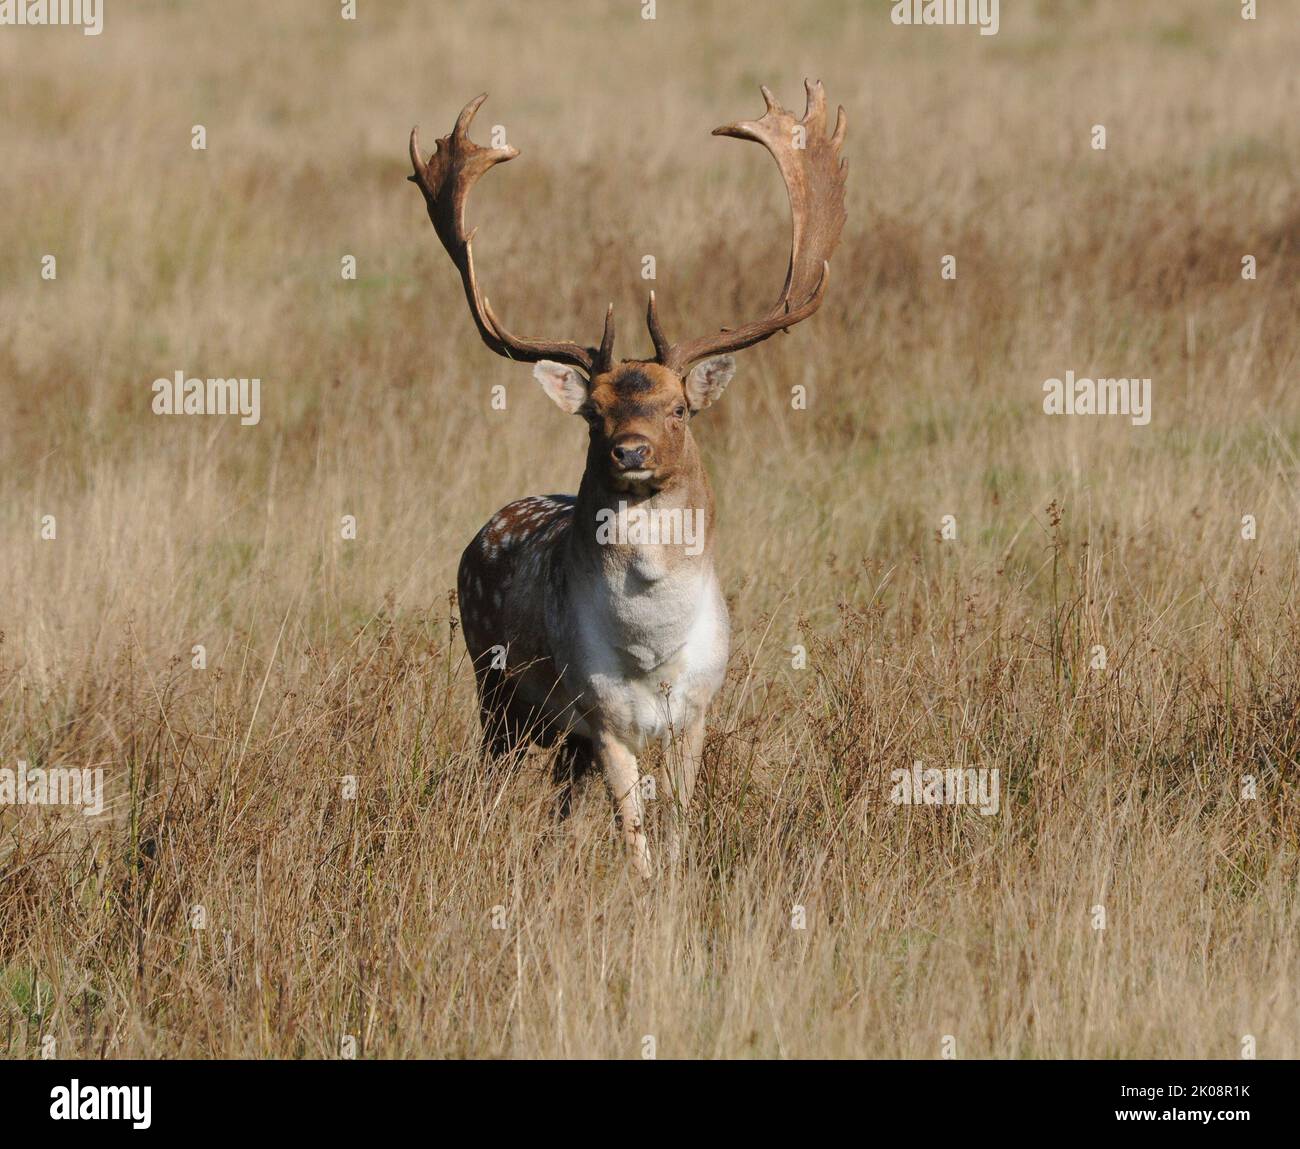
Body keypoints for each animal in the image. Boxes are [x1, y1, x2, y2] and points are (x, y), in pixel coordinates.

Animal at [409, 82, 847, 876]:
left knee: (558, 796)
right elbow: (633, 831)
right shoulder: (603, 715)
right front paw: (645, 887)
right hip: (496, 688)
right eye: (595, 413)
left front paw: (681, 877)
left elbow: (678, 820)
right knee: (492, 778)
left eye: (678, 407)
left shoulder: (697, 709)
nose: (631, 451)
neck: (651, 653)